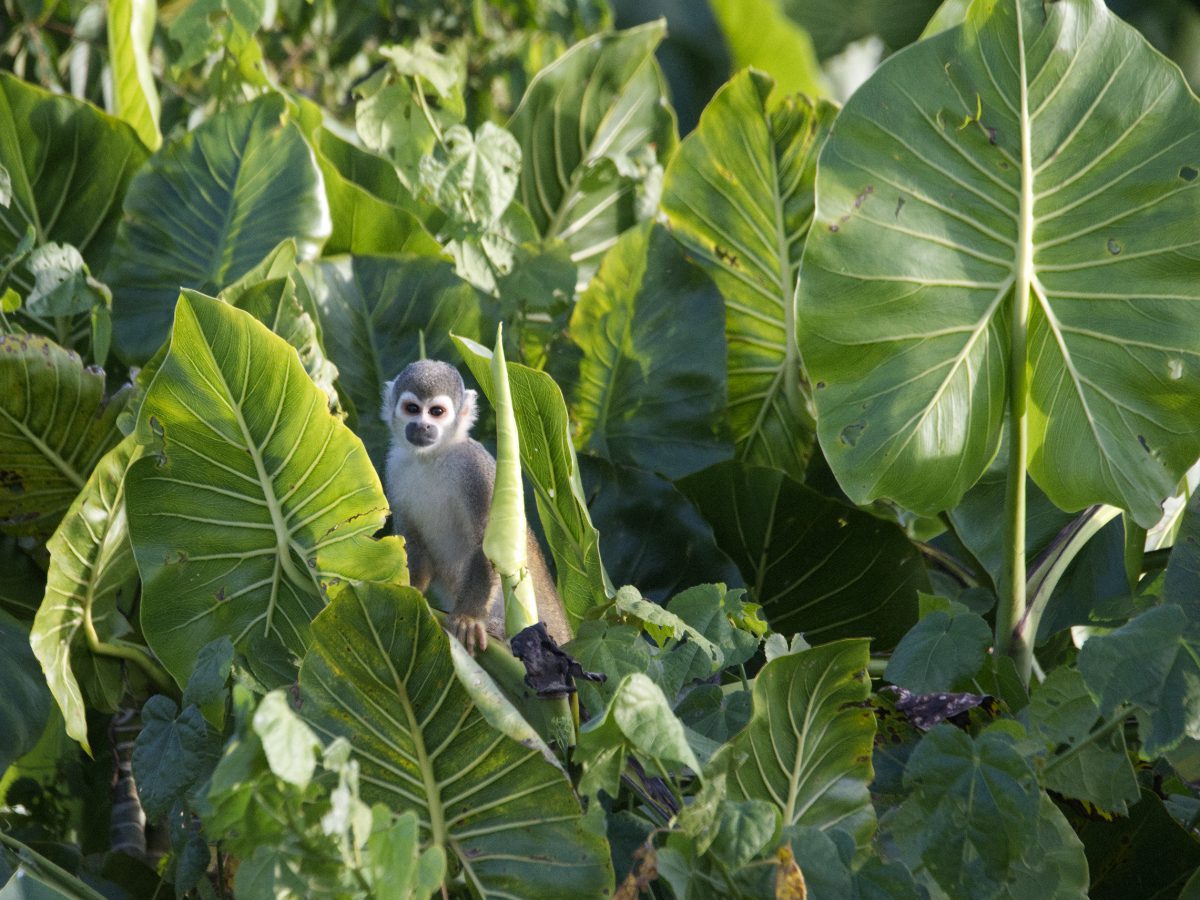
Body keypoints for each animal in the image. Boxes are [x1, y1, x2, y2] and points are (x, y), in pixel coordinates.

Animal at [384, 360, 571, 657]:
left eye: (436, 412)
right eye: (412, 408)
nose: (422, 426)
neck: (432, 457)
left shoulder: (475, 470)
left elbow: (487, 544)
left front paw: (469, 618)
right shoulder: (394, 468)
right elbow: (414, 539)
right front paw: (411, 591)